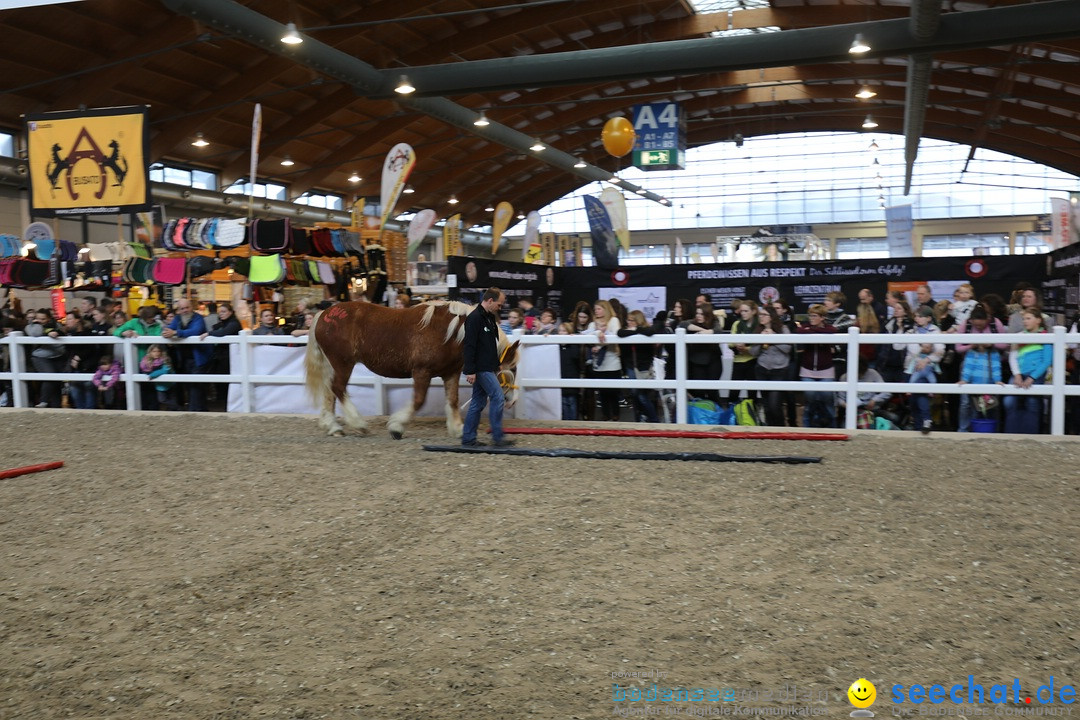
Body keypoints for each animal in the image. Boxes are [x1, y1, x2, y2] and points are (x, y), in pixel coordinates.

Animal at [304, 300, 522, 440]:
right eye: (512, 368)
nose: (513, 401)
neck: (449, 332)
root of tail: (324, 314)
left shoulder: (450, 372)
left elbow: (452, 401)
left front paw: (459, 430)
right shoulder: (421, 371)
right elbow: (418, 401)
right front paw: (396, 427)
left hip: (334, 365)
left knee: (330, 392)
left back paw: (333, 426)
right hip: (343, 363)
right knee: (338, 388)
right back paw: (358, 424)